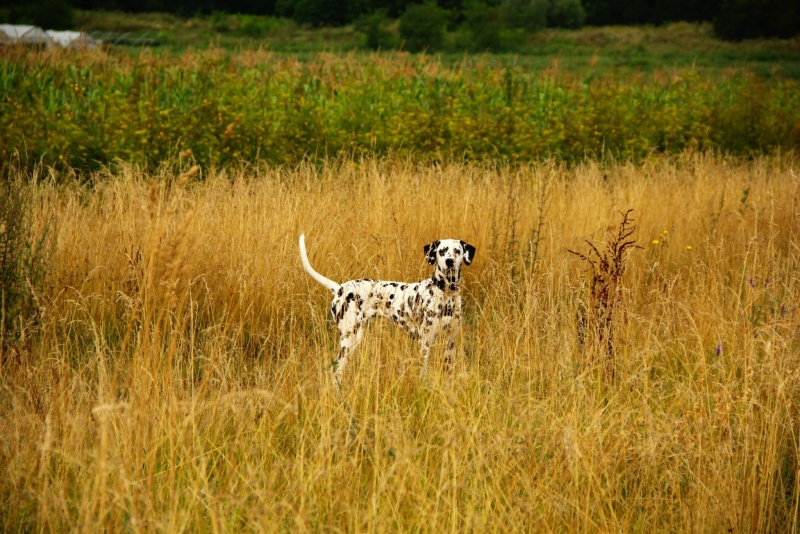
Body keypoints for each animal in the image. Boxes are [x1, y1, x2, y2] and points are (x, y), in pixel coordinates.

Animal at [298, 234, 476, 386]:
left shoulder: (450, 342)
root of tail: (340, 288)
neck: (446, 294)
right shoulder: (425, 342)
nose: (449, 261)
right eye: (442, 251)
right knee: (335, 370)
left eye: (457, 251)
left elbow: (448, 373)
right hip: (350, 339)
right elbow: (423, 372)